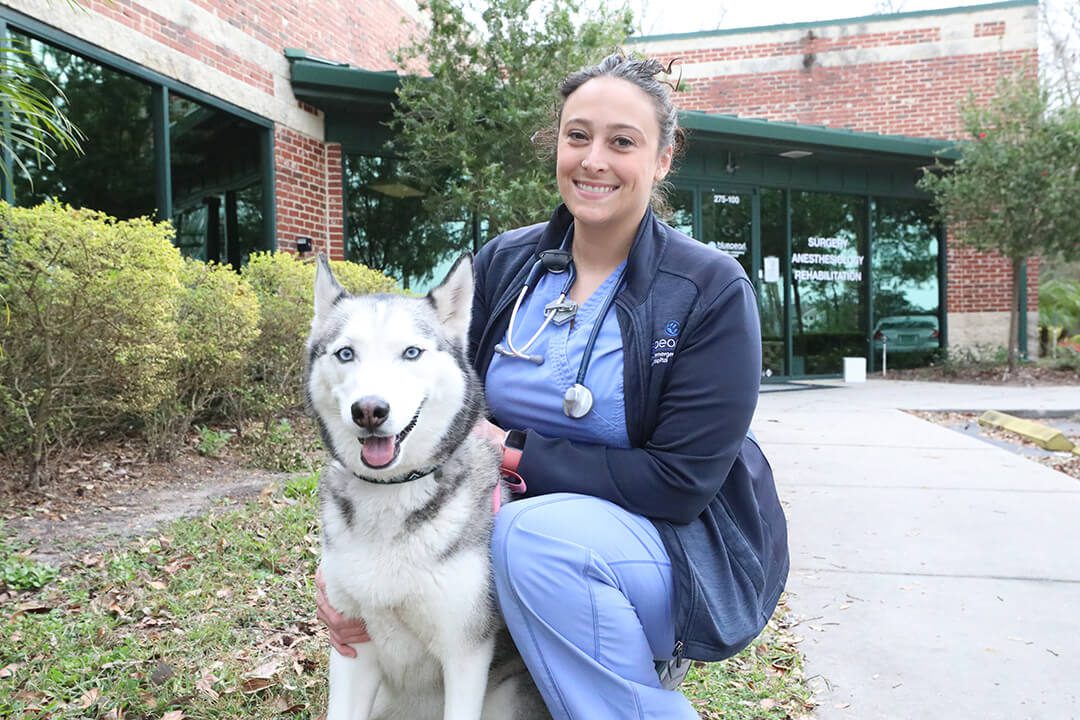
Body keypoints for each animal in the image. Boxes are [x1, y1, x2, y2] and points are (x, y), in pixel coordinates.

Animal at [304, 254, 548, 720]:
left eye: (411, 352)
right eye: (346, 353)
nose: (369, 410)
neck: (390, 493)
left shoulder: (465, 654)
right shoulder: (352, 644)